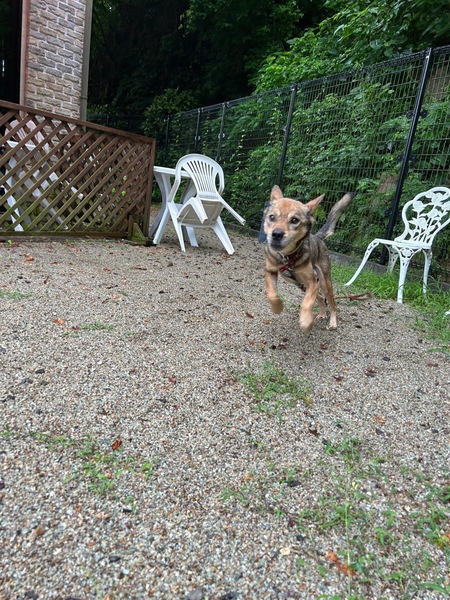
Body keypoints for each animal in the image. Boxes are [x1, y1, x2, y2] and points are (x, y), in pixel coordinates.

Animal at [264, 185, 353, 333]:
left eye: (295, 220)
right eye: (272, 217)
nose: (276, 234)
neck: (287, 257)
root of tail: (316, 237)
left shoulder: (313, 283)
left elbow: (306, 304)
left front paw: (306, 321)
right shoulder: (270, 272)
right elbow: (271, 294)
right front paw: (277, 307)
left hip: (324, 283)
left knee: (331, 303)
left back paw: (333, 321)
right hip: (302, 285)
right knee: (321, 298)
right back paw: (322, 314)